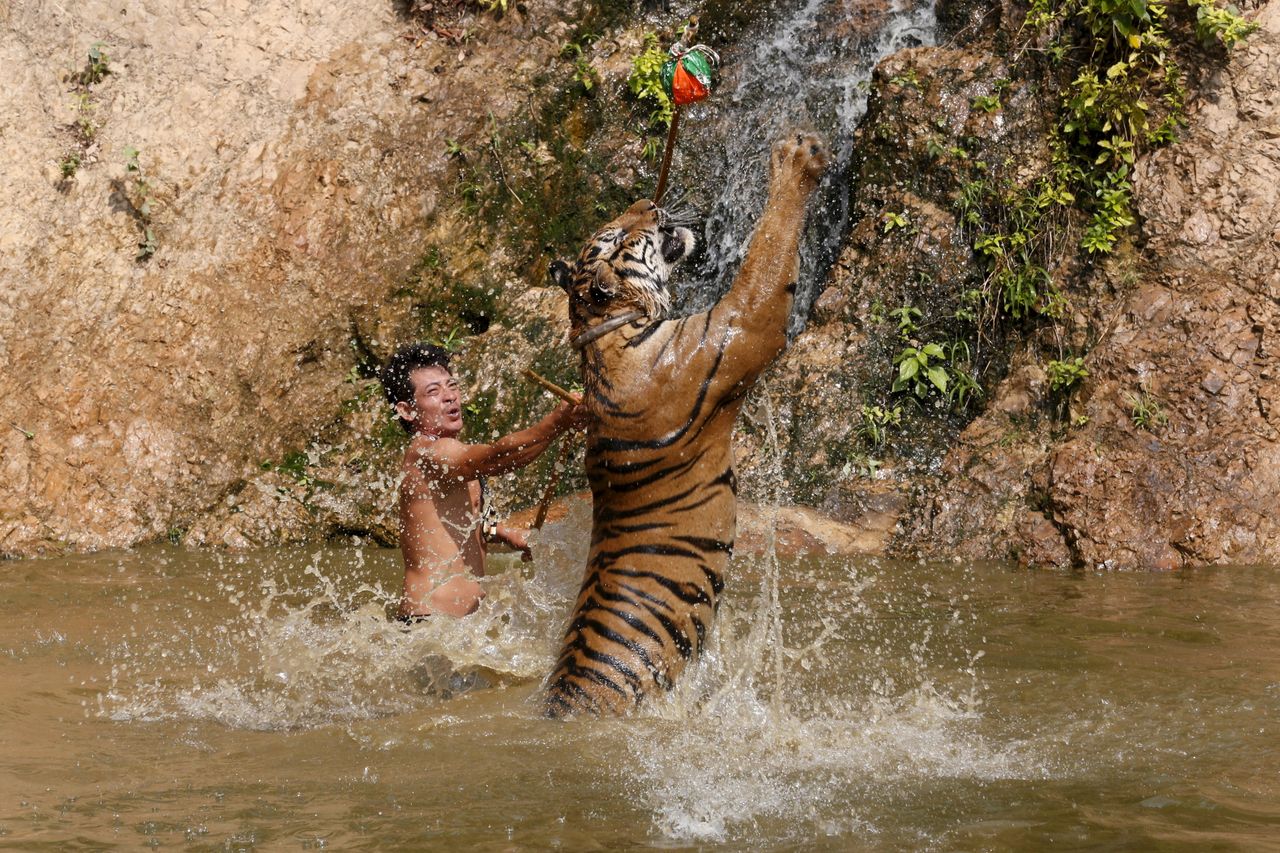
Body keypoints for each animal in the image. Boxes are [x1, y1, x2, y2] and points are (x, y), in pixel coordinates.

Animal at [540, 129, 829, 712]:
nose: (647, 202)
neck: (607, 333)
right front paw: (795, 159)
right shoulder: (741, 324)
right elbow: (767, 257)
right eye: (618, 234)